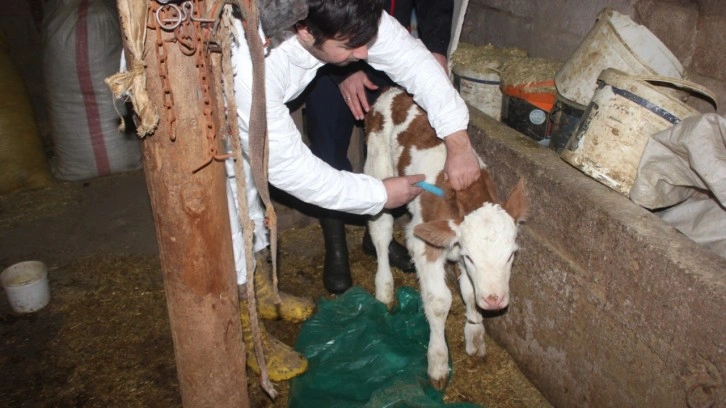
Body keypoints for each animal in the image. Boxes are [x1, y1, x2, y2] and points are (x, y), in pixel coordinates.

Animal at [364, 87, 528, 390]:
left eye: (511, 254)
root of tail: (394, 91)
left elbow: (470, 294)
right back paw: (385, 290)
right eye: (472, 257)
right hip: (379, 170)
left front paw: (475, 338)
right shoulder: (424, 245)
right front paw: (439, 363)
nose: (495, 301)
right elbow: (440, 302)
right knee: (380, 231)